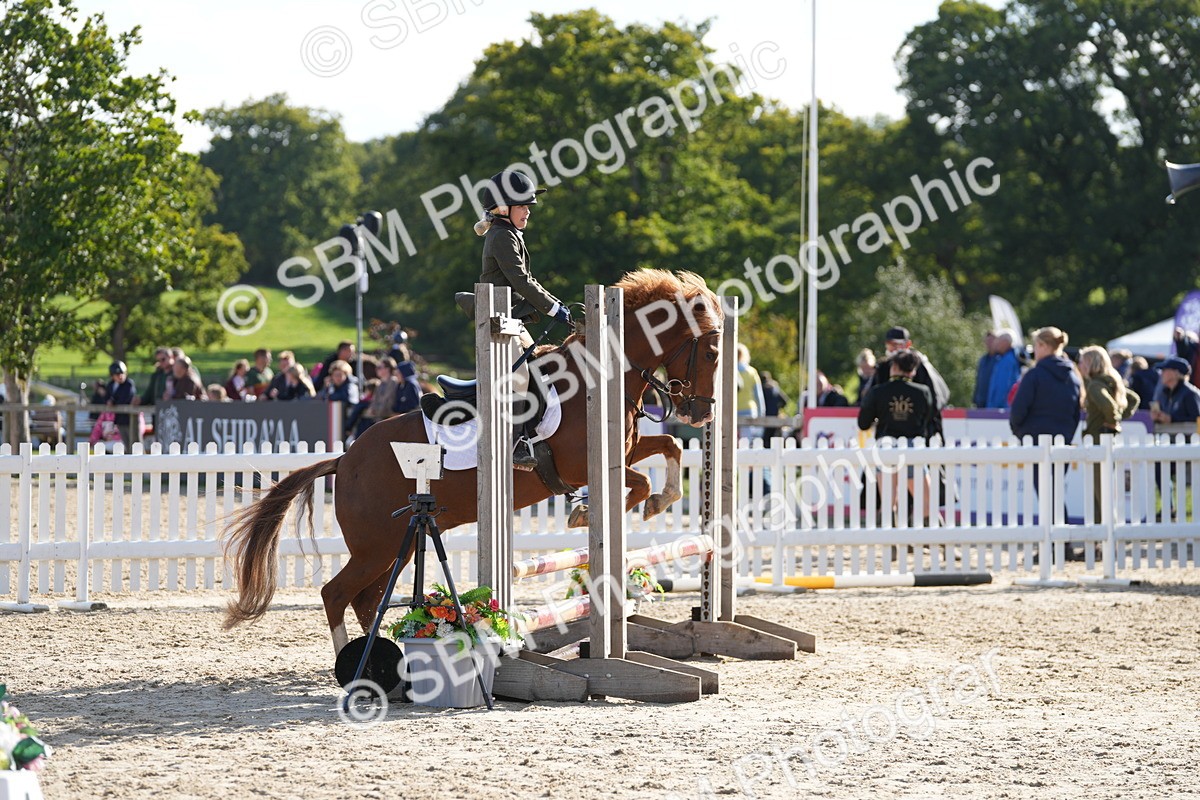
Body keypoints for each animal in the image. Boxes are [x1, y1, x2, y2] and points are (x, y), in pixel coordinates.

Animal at [222, 269, 725, 657]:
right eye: (712, 353)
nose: (701, 413)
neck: (598, 375)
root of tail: (345, 460)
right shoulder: (580, 465)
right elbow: (637, 482)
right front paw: (591, 512)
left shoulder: (622, 450)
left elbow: (668, 448)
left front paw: (659, 499)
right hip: (376, 547)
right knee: (337, 594)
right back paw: (354, 664)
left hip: (394, 546)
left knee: (365, 600)